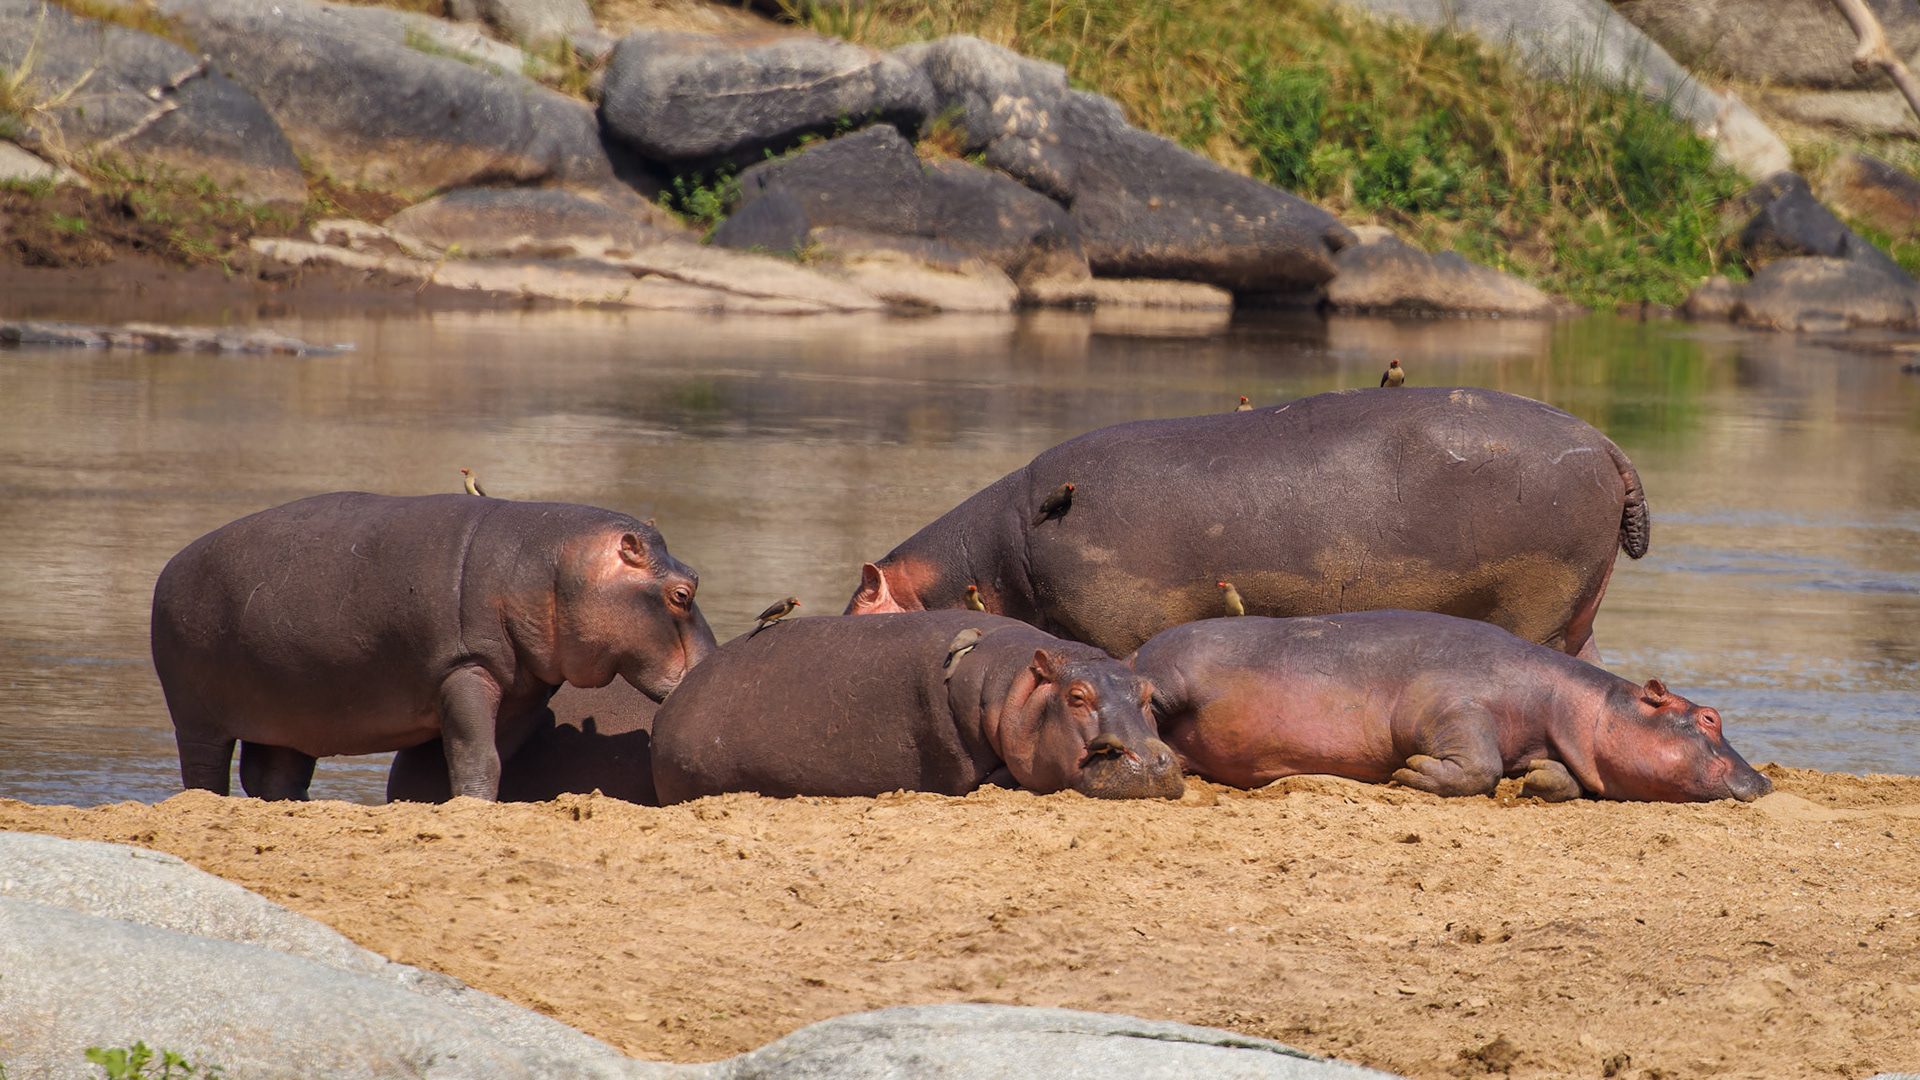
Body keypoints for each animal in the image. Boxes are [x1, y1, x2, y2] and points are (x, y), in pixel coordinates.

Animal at [151, 493, 715, 801]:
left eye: (691, 574)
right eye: (683, 592)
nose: (713, 665)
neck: (550, 566)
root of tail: (172, 565)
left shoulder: (523, 690)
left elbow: (485, 755)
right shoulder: (464, 667)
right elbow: (477, 755)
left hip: (290, 715)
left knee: (275, 775)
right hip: (196, 716)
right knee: (203, 770)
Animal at [1129, 611, 1772, 802]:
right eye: (1709, 717)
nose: (1763, 779)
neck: (1584, 704)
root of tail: (1139, 649)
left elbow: (1555, 775)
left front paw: (1540, 780)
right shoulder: (1449, 700)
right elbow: (1478, 763)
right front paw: (1410, 773)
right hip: (1171, 675)